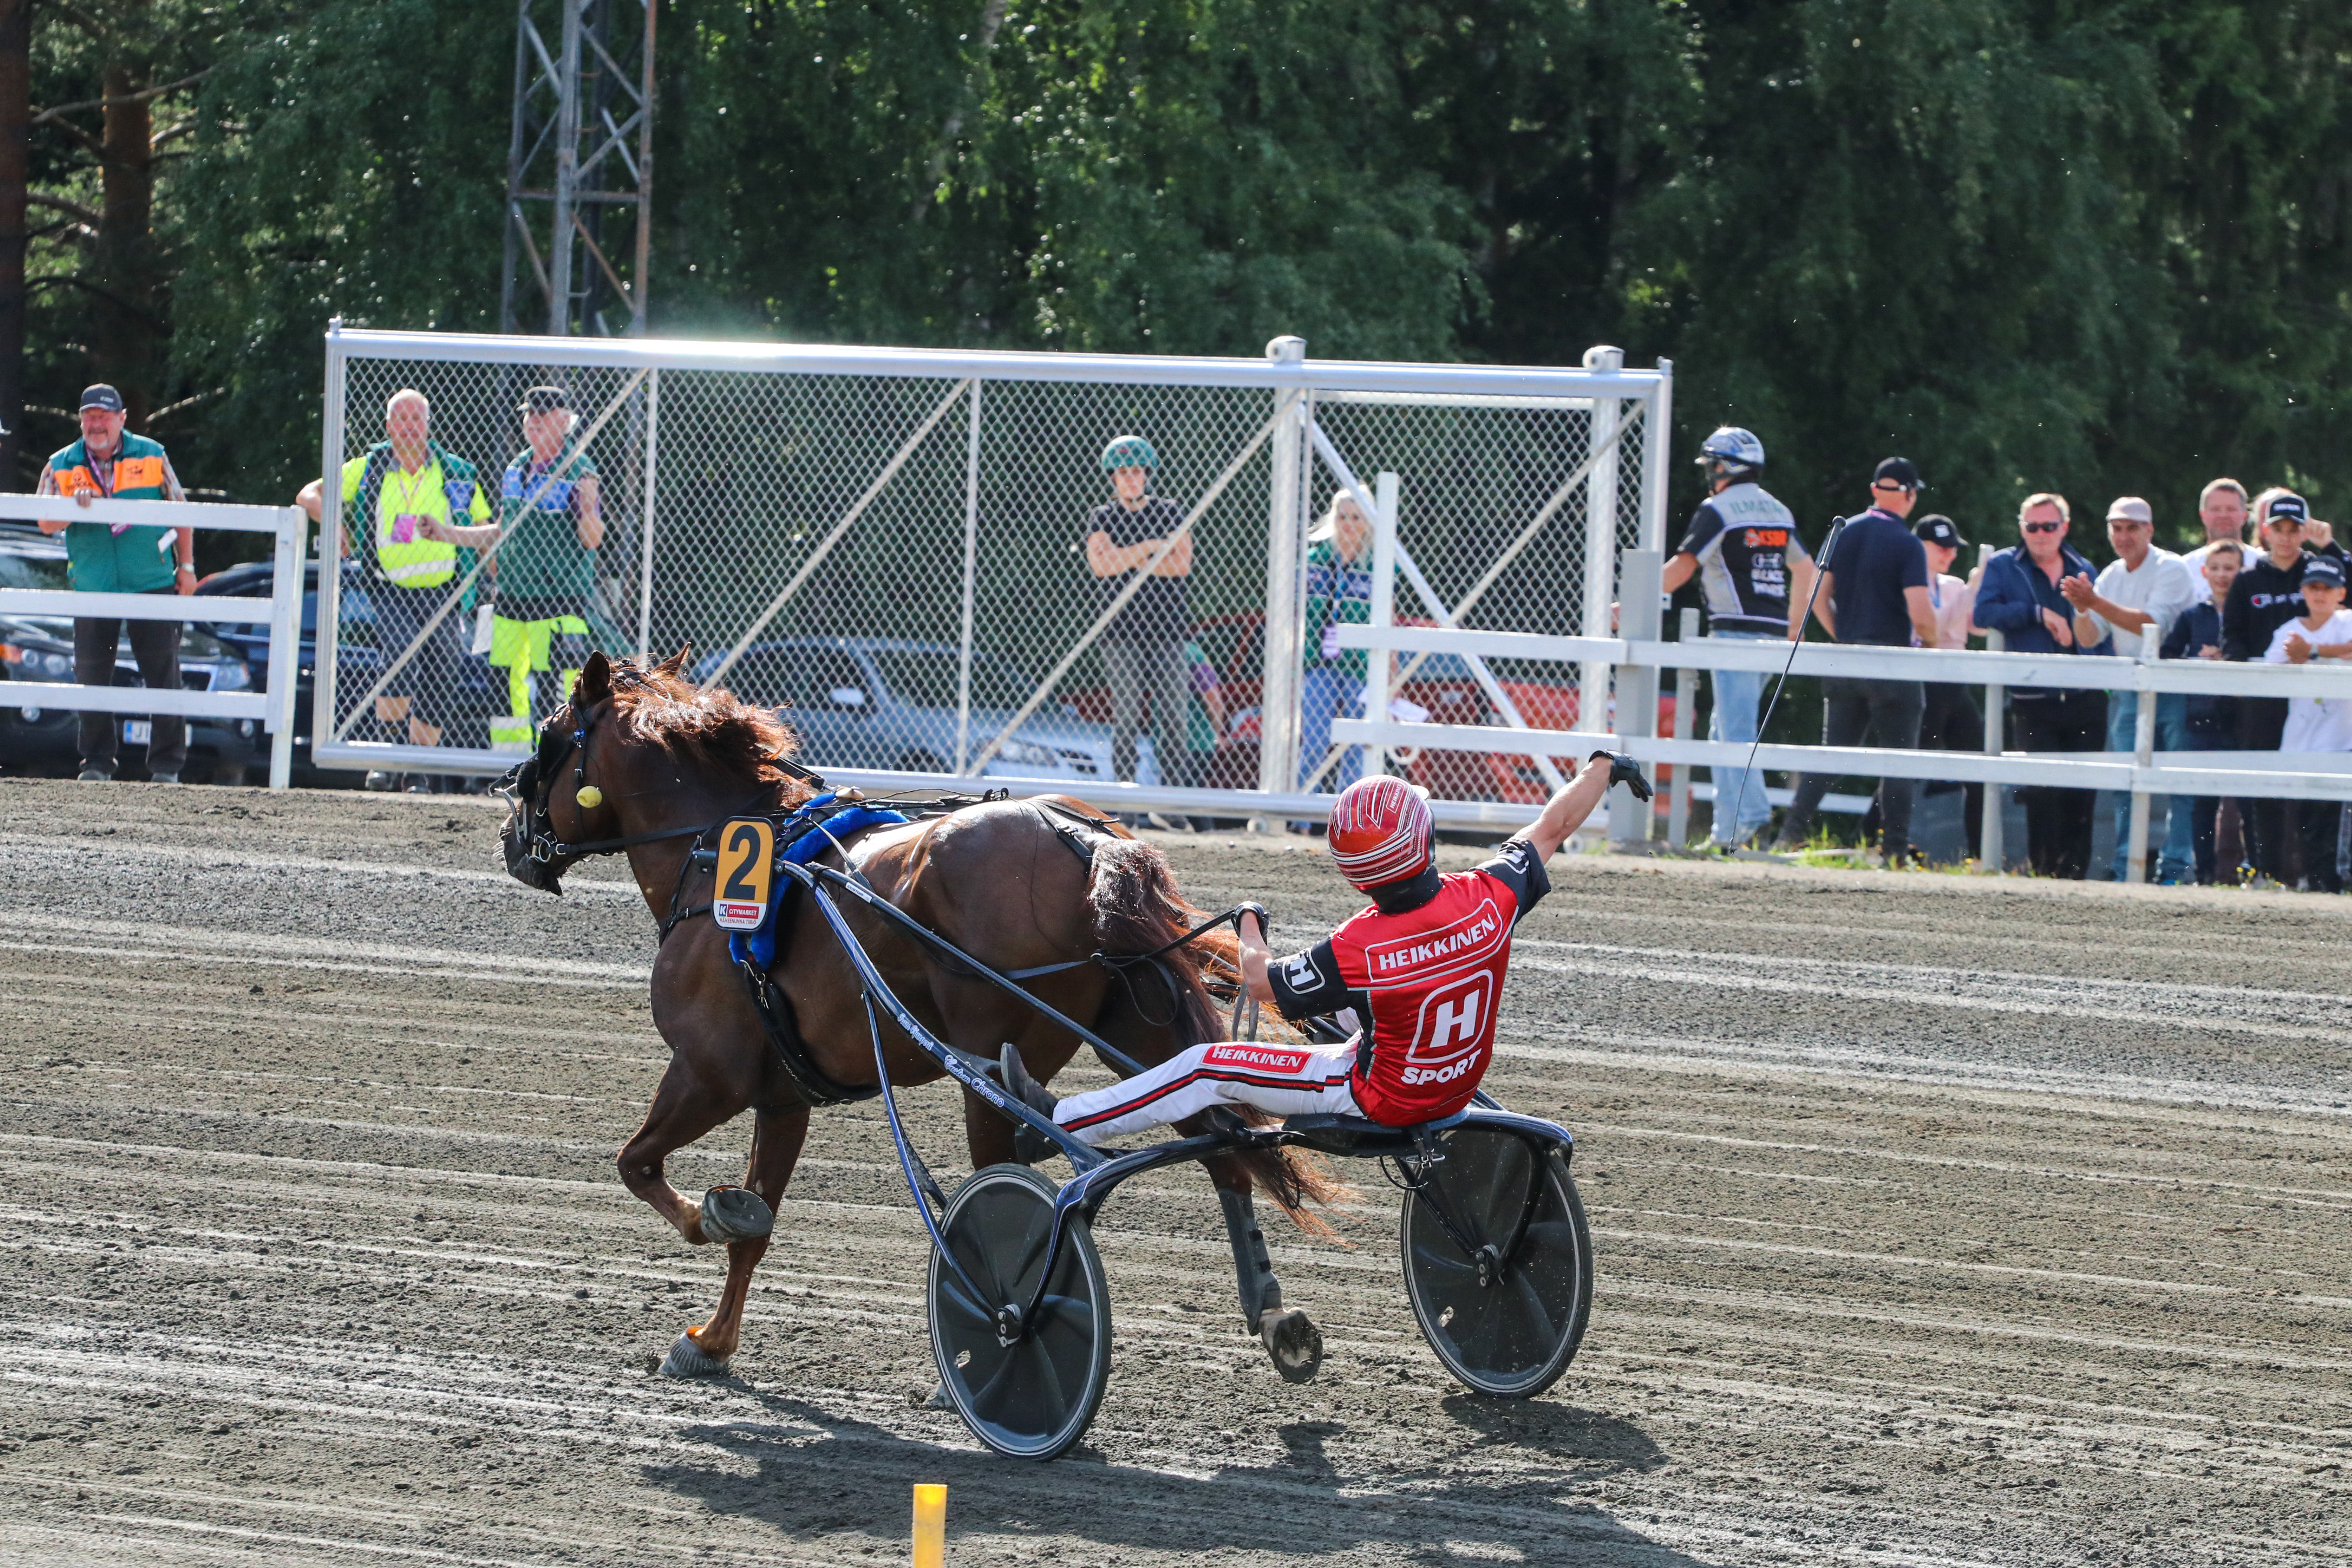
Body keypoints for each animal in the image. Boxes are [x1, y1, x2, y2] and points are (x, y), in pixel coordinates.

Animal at [498, 649, 1335, 1373]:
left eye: (548, 738)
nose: (510, 837)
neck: (717, 855)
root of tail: (1078, 835)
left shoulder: (711, 1072)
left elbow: (639, 1165)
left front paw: (716, 1218)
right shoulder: (782, 1093)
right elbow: (753, 1231)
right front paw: (711, 1340)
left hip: (992, 1059)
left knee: (1024, 1173)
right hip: (1139, 1025)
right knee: (1219, 1143)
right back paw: (1272, 1313)